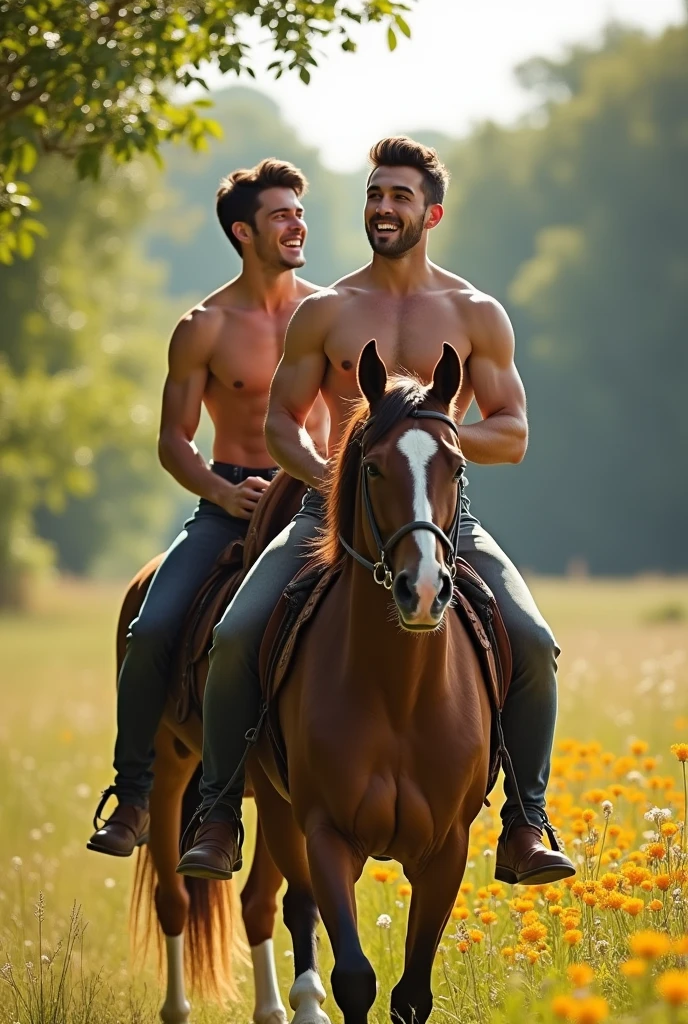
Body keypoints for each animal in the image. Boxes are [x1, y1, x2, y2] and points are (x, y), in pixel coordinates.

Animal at [245, 342, 489, 1024]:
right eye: (375, 470)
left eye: (457, 467)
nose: (423, 590)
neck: (398, 691)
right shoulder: (327, 834)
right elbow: (355, 977)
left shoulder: (446, 850)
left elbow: (411, 994)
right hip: (277, 812)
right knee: (288, 903)